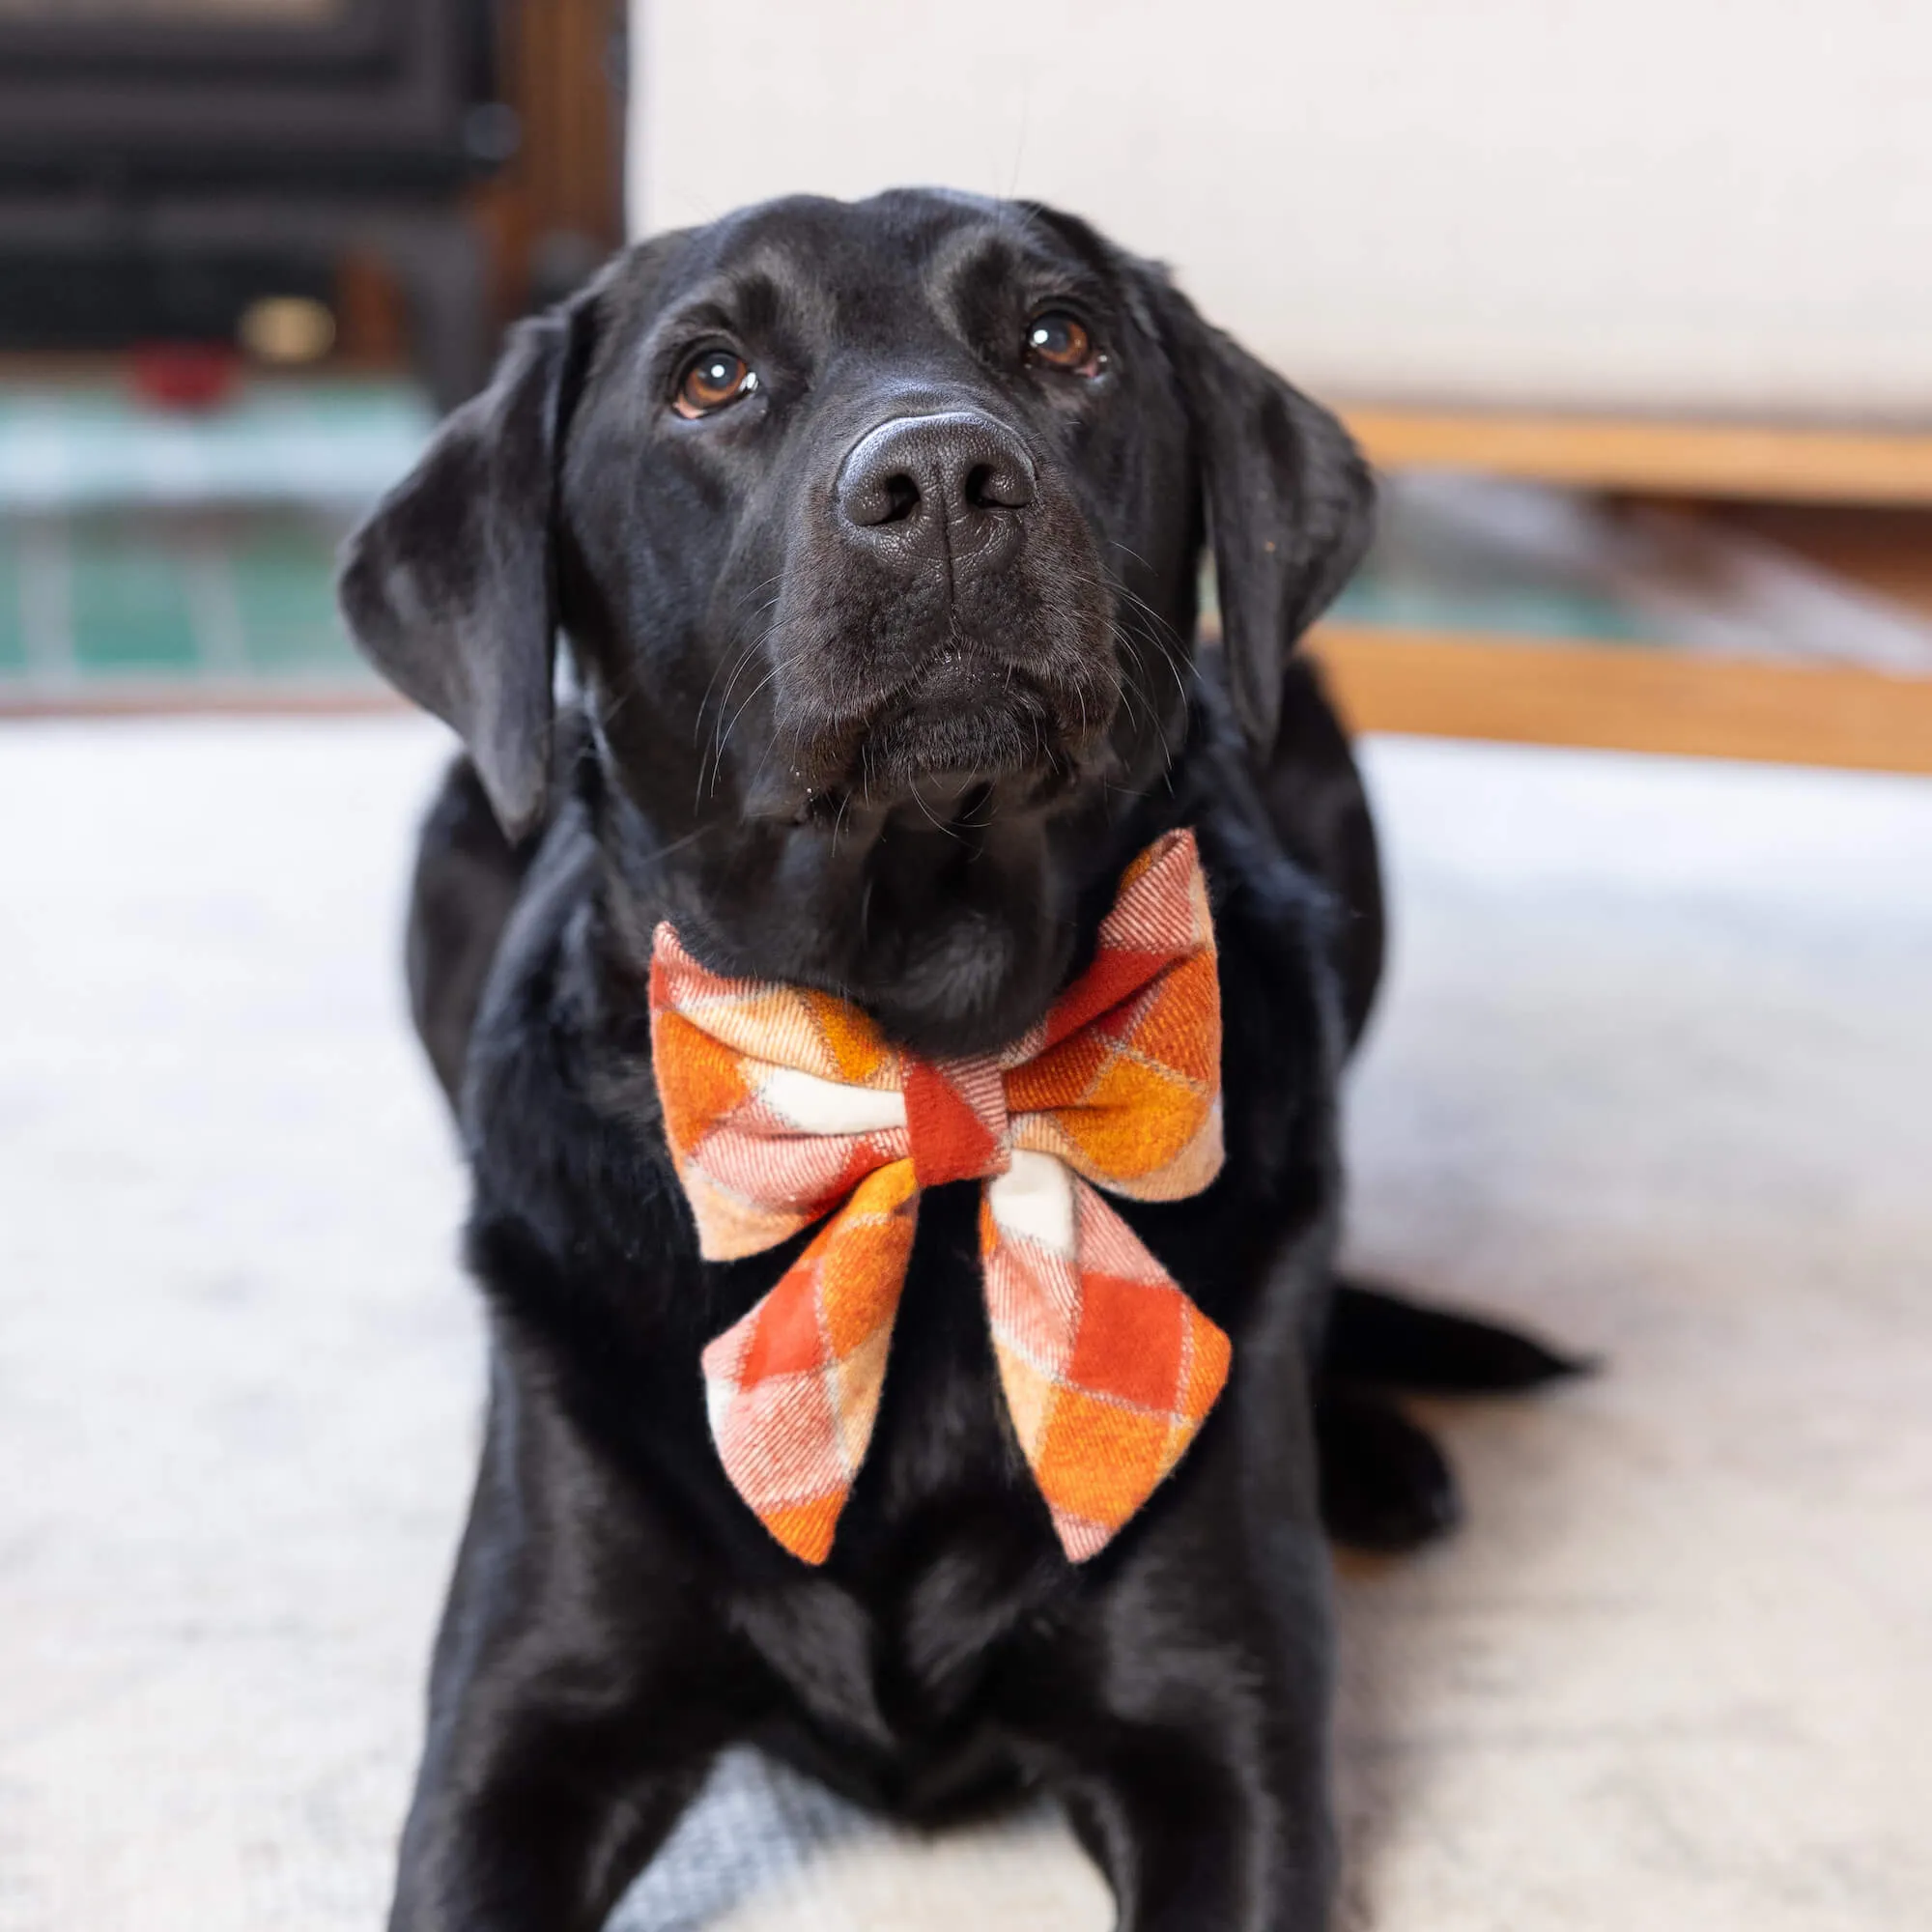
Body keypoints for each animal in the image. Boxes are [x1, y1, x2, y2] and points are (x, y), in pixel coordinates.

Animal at [340, 185, 1569, 1932]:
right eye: (710, 375)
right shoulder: (522, 1733)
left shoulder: (1224, 1743)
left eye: (1063, 338)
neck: (925, 1056)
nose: (938, 482)